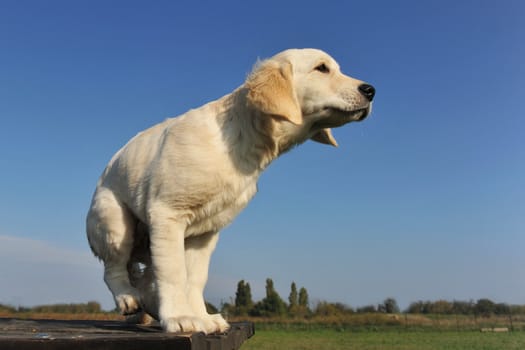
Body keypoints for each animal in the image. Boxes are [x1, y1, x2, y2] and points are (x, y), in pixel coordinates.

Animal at [85, 48, 372, 334]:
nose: (371, 90)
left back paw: (145, 310)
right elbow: (174, 272)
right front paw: (180, 317)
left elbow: (195, 278)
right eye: (321, 68)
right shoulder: (168, 213)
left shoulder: (205, 233)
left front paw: (202, 318)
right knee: (114, 269)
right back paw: (128, 299)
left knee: (142, 277)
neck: (241, 141)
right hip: (116, 224)